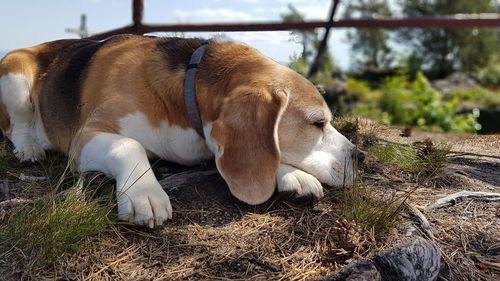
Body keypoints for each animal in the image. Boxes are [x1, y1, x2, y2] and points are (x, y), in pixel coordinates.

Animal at [0, 35, 364, 228]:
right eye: (317, 123)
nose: (361, 156)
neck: (185, 91)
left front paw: (290, 173)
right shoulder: (86, 137)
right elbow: (128, 145)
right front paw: (144, 192)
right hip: (14, 77)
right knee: (15, 126)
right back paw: (29, 148)